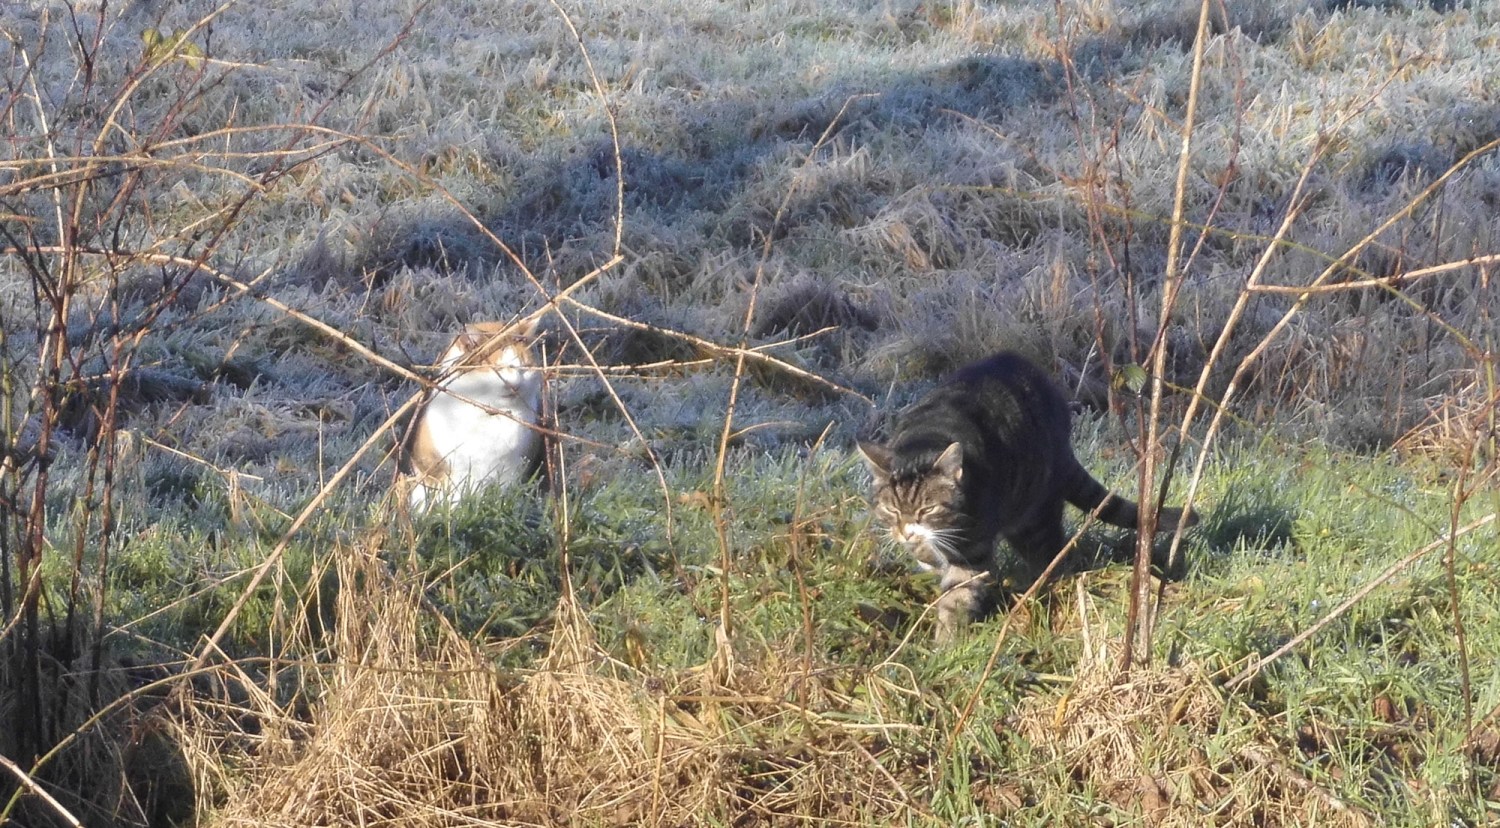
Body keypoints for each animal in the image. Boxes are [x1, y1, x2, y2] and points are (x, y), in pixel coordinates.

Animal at [400, 319, 545, 512]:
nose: (514, 385)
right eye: (497, 369)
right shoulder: (442, 469)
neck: (491, 413)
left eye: (525, 368)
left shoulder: (512, 470)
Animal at [857, 351, 1197, 640]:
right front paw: (924, 553)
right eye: (891, 510)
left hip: (1034, 520)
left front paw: (946, 646)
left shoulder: (973, 547)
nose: (906, 531)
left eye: (928, 509)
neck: (926, 437)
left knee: (1054, 556)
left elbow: (957, 594)